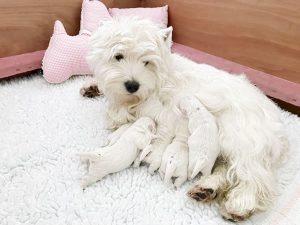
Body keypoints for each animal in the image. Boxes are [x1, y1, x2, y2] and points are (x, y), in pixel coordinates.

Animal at [82, 17, 288, 221]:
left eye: (147, 62)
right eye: (118, 56)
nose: (132, 85)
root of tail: (277, 121)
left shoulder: (153, 107)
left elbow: (125, 114)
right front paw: (92, 87)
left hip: (239, 138)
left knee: (251, 174)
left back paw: (240, 205)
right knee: (224, 168)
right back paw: (206, 189)